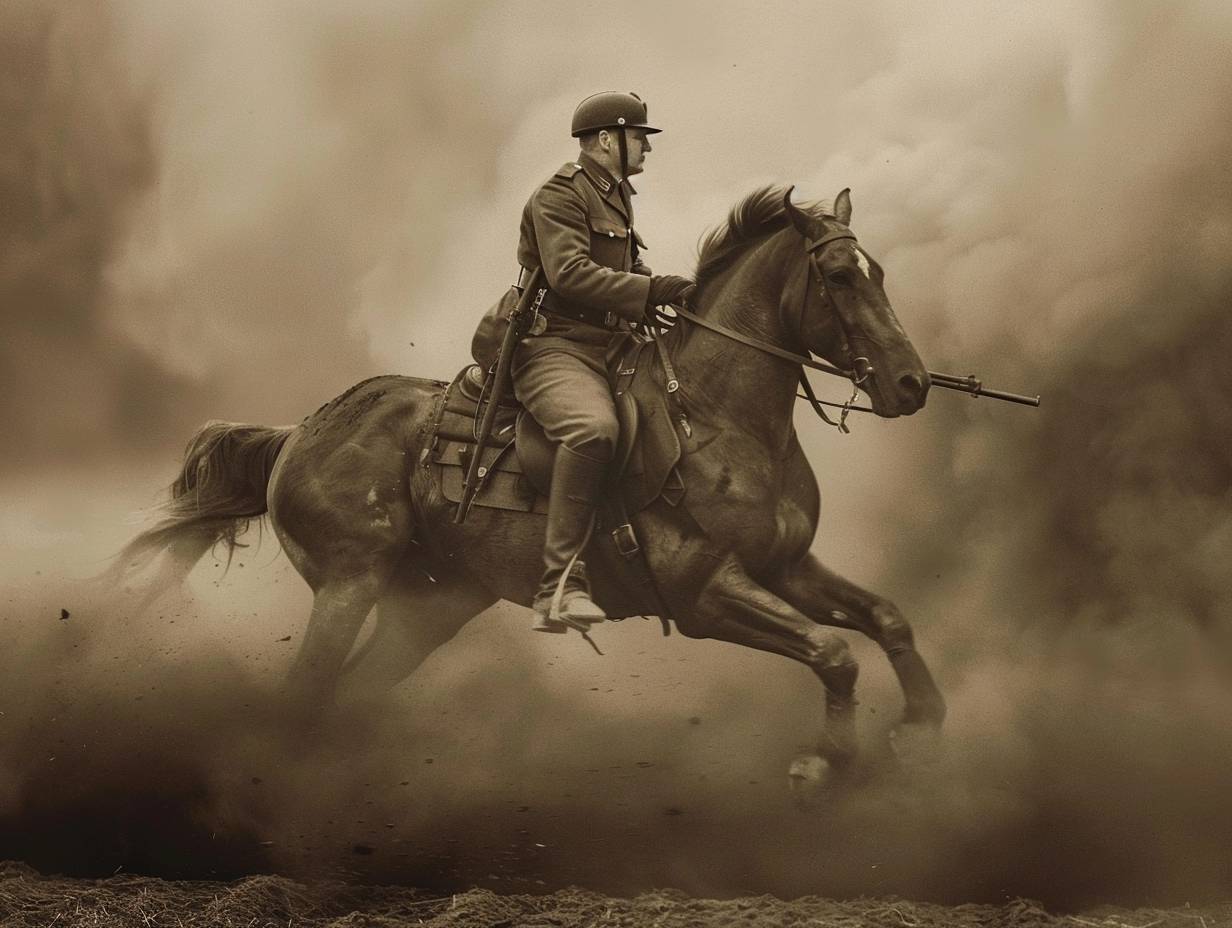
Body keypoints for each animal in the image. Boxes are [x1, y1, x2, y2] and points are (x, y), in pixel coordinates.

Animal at [113, 186, 941, 773]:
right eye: (839, 275)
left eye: (879, 272)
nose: (910, 384)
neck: (714, 417)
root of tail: (297, 434)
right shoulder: (707, 594)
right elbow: (832, 651)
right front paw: (823, 762)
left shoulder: (786, 567)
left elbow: (886, 619)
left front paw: (921, 723)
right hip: (350, 585)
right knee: (304, 696)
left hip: (428, 611)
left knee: (346, 694)